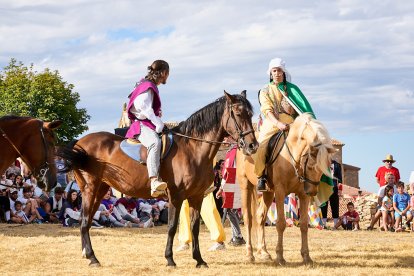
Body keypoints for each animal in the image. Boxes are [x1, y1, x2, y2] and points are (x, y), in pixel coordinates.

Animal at [57, 91, 258, 268]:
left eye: (250, 114)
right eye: (238, 113)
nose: (252, 145)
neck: (193, 149)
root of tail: (79, 143)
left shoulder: (196, 196)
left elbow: (195, 227)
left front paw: (199, 260)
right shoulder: (176, 197)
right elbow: (172, 226)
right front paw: (170, 259)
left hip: (100, 189)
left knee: (86, 221)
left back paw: (86, 254)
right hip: (89, 189)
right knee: (84, 221)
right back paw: (93, 258)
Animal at [236, 112, 336, 266]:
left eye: (325, 168)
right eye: (311, 166)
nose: (313, 192)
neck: (292, 155)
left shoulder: (302, 195)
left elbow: (304, 224)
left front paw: (306, 257)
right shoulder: (280, 192)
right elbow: (281, 223)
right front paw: (280, 257)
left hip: (268, 193)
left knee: (260, 217)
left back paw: (263, 252)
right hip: (246, 186)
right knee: (248, 218)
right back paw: (249, 254)